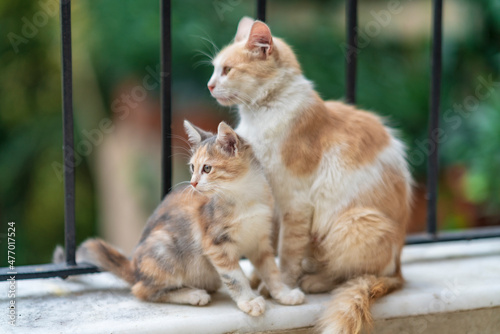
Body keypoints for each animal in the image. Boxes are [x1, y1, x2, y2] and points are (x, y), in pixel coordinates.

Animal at [207, 18, 414, 334]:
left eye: (227, 70)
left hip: (352, 225)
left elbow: (286, 253)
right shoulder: (269, 200)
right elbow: (265, 249)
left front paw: (282, 287)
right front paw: (257, 280)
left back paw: (314, 282)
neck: (261, 114)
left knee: (353, 275)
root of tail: (399, 268)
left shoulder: (295, 202)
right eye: (214, 68)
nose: (209, 85)